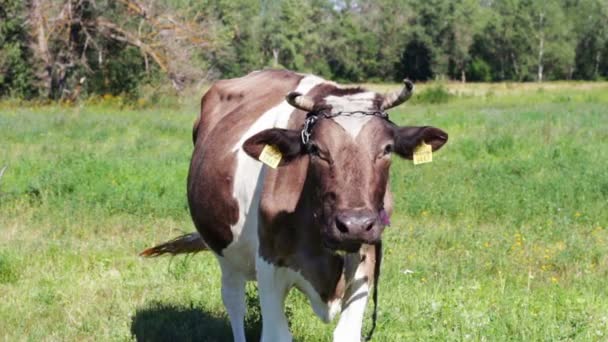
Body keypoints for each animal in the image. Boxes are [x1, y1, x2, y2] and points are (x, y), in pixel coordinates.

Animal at [141, 68, 446, 340]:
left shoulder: (366, 265)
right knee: (234, 303)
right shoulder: (268, 266)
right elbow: (275, 335)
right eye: (316, 150)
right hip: (225, 253)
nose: (354, 225)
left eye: (386, 149)